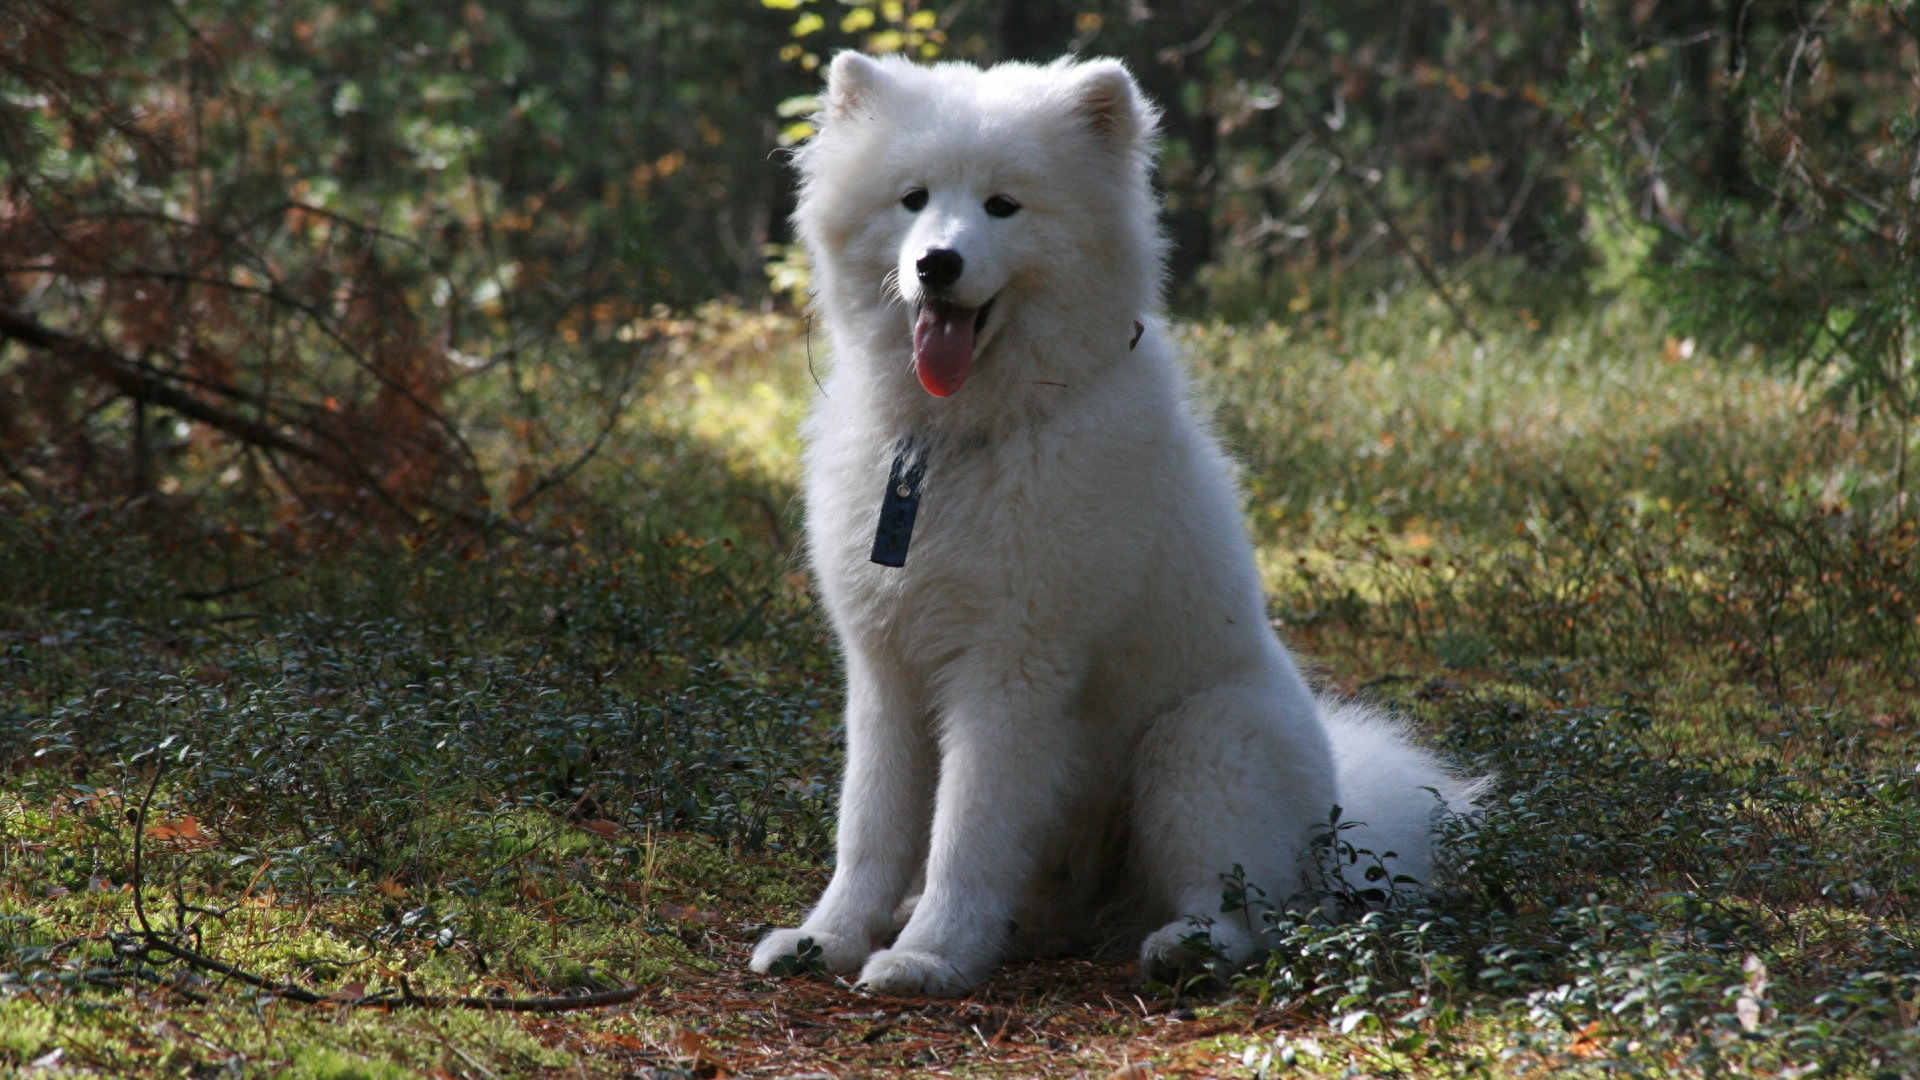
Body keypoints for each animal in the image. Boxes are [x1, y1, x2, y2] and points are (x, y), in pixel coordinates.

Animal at [748, 52, 1466, 991]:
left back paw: (1183, 945)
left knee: (1246, 910)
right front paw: (827, 939)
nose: (937, 263)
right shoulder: (885, 670)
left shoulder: (1013, 669)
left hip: (1197, 747)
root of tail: (1340, 820)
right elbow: (869, 829)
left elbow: (964, 837)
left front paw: (931, 956)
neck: (957, 440)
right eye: (913, 198)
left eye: (1003, 205)